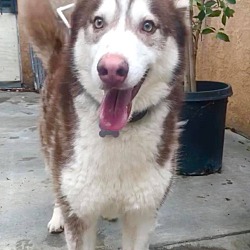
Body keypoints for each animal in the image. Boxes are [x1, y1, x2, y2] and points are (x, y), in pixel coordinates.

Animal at [22, 0, 188, 248]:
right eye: (98, 22)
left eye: (148, 26)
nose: (111, 69)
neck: (118, 133)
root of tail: (60, 53)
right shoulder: (79, 213)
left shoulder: (142, 214)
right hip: (51, 151)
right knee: (56, 186)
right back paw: (58, 216)